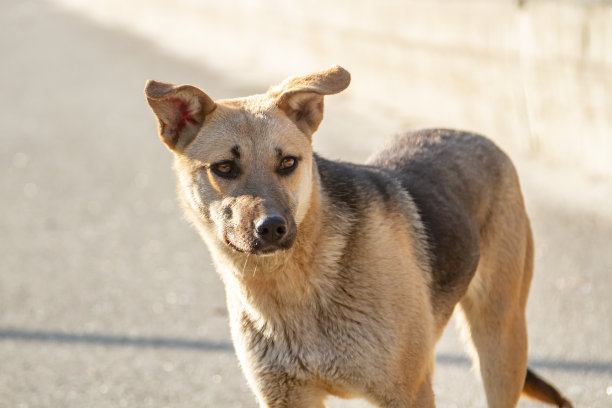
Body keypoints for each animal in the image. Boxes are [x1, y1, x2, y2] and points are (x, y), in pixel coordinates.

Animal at [145, 65, 572, 406]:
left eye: (288, 163)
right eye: (224, 167)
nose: (272, 228)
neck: (295, 285)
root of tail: (472, 135)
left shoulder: (407, 393)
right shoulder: (288, 397)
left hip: (499, 342)